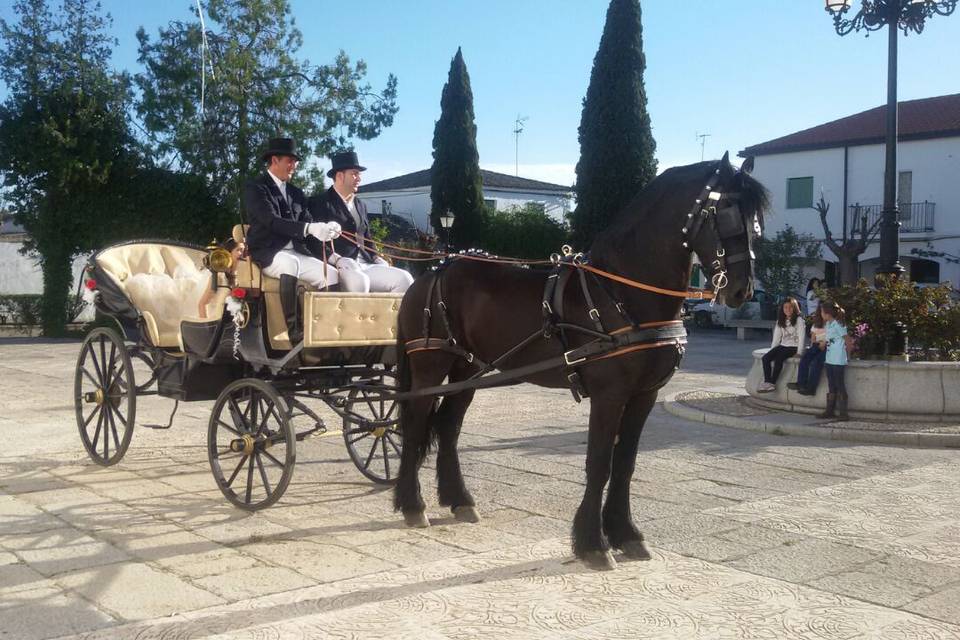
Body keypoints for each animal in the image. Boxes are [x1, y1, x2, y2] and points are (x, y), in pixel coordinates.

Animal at [390, 155, 764, 568]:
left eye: (756, 219)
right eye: (725, 212)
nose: (741, 290)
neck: (620, 292)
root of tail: (431, 272)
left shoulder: (644, 396)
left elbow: (625, 464)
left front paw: (625, 534)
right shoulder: (609, 395)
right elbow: (599, 463)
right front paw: (593, 543)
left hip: (469, 369)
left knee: (448, 426)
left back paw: (459, 500)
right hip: (430, 366)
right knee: (415, 424)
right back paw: (412, 504)